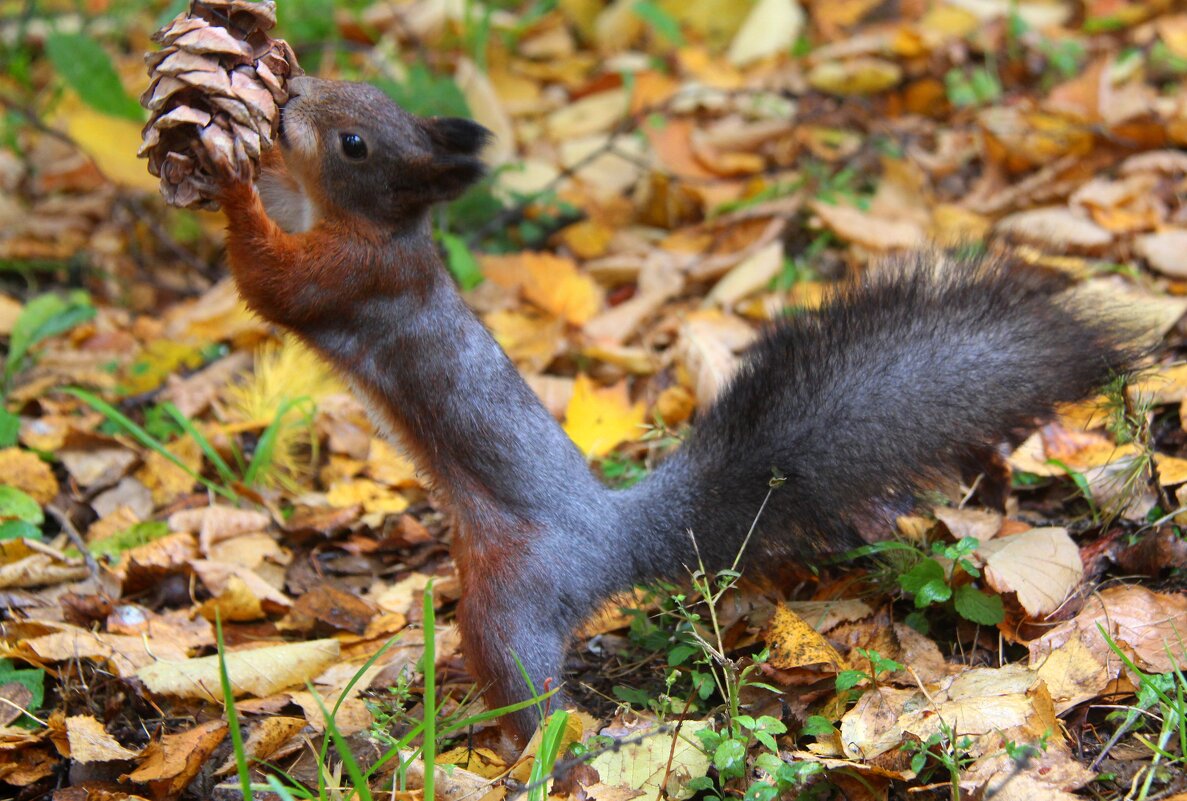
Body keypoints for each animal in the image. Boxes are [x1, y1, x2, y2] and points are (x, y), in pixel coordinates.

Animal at [213, 75, 1139, 745]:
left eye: (354, 142)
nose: (294, 96)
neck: (385, 227)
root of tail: (616, 539)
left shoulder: (355, 275)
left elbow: (272, 283)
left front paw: (227, 181)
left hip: (511, 593)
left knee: (533, 693)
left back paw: (531, 749)